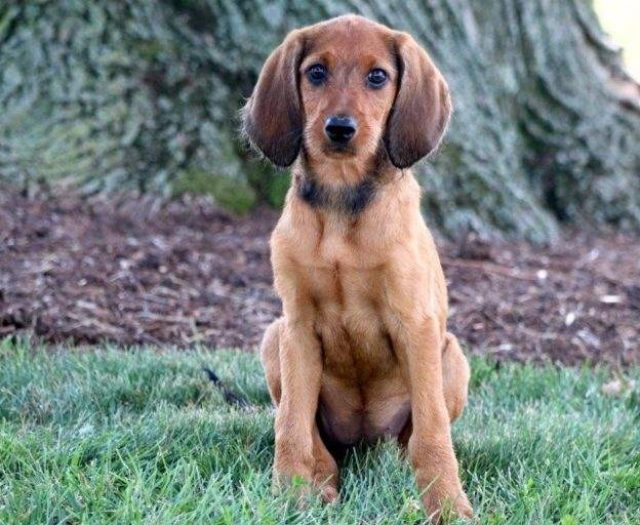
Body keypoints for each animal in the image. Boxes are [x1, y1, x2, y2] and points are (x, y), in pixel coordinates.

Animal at [242, 14, 472, 520]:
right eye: (316, 72)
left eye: (377, 77)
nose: (340, 128)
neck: (342, 201)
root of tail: (365, 441)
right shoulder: (297, 328)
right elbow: (291, 426)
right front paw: (289, 495)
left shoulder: (415, 324)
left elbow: (432, 433)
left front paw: (447, 505)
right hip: (273, 338)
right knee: (313, 434)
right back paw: (324, 483)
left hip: (452, 355)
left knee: (409, 441)